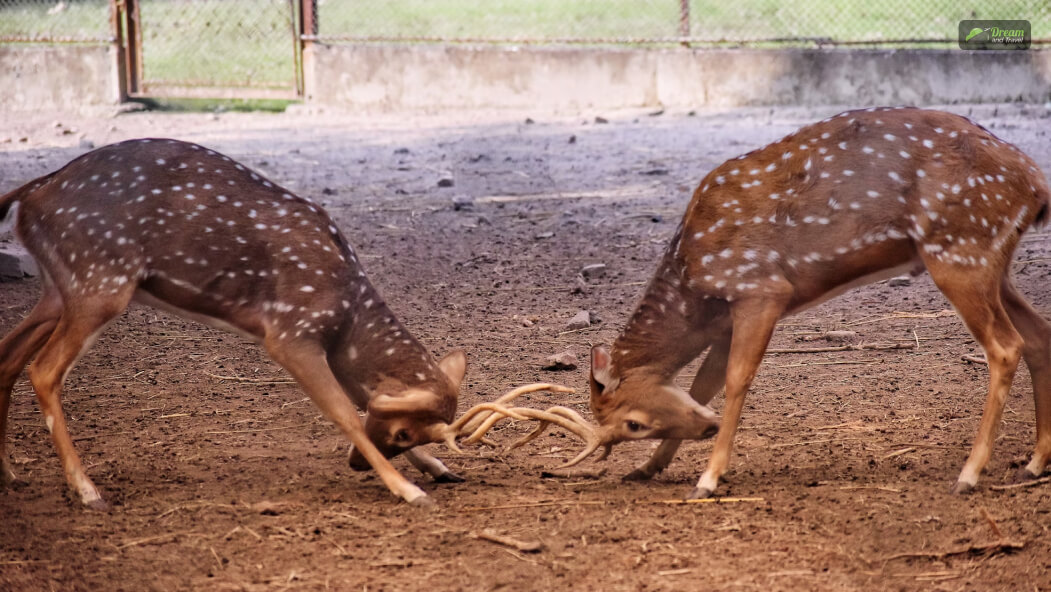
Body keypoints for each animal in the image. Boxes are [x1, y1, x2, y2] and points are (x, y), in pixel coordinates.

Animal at [0, 137, 468, 508]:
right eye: (404, 434)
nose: (355, 466)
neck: (345, 316)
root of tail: (30, 196)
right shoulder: (290, 333)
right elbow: (345, 413)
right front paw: (409, 491)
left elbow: (362, 399)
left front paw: (439, 468)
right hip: (100, 279)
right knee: (43, 370)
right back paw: (87, 491)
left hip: (59, 289)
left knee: (8, 355)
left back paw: (10, 473)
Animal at [588, 107, 1046, 500]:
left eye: (632, 423)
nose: (706, 429)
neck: (693, 283)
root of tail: (1038, 187)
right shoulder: (725, 322)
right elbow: (703, 386)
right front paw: (647, 467)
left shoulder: (760, 289)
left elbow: (736, 380)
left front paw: (708, 479)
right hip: (991, 262)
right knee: (1040, 334)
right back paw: (1034, 463)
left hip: (959, 250)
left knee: (1006, 346)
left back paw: (969, 474)